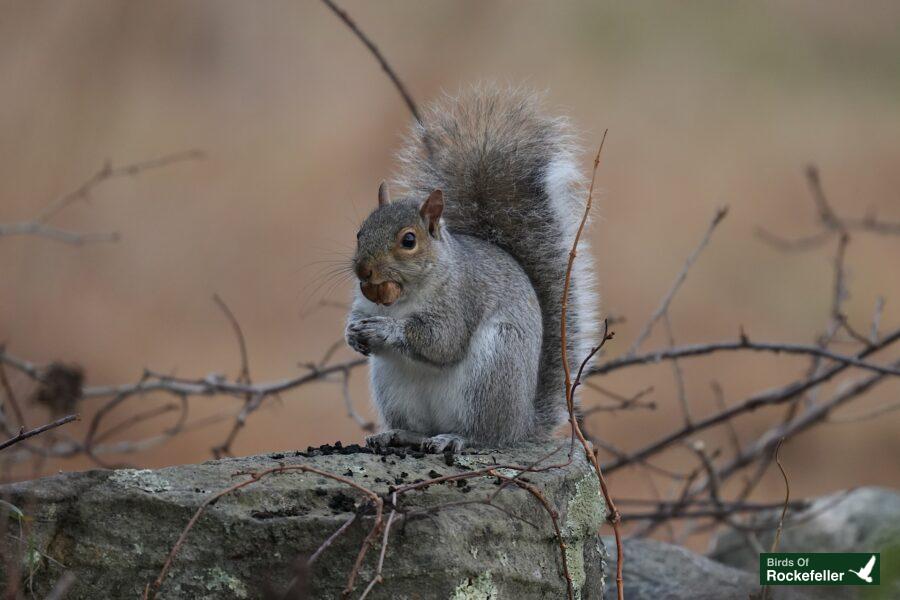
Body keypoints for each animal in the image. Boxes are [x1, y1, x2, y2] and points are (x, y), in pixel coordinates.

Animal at [344, 83, 596, 450]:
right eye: (360, 232)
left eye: (409, 240)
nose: (364, 271)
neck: (401, 298)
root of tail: (521, 425)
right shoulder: (364, 302)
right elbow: (357, 317)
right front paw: (351, 333)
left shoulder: (462, 300)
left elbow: (442, 340)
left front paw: (386, 330)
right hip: (392, 387)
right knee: (421, 430)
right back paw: (397, 434)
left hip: (491, 371)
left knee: (483, 435)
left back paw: (455, 438)